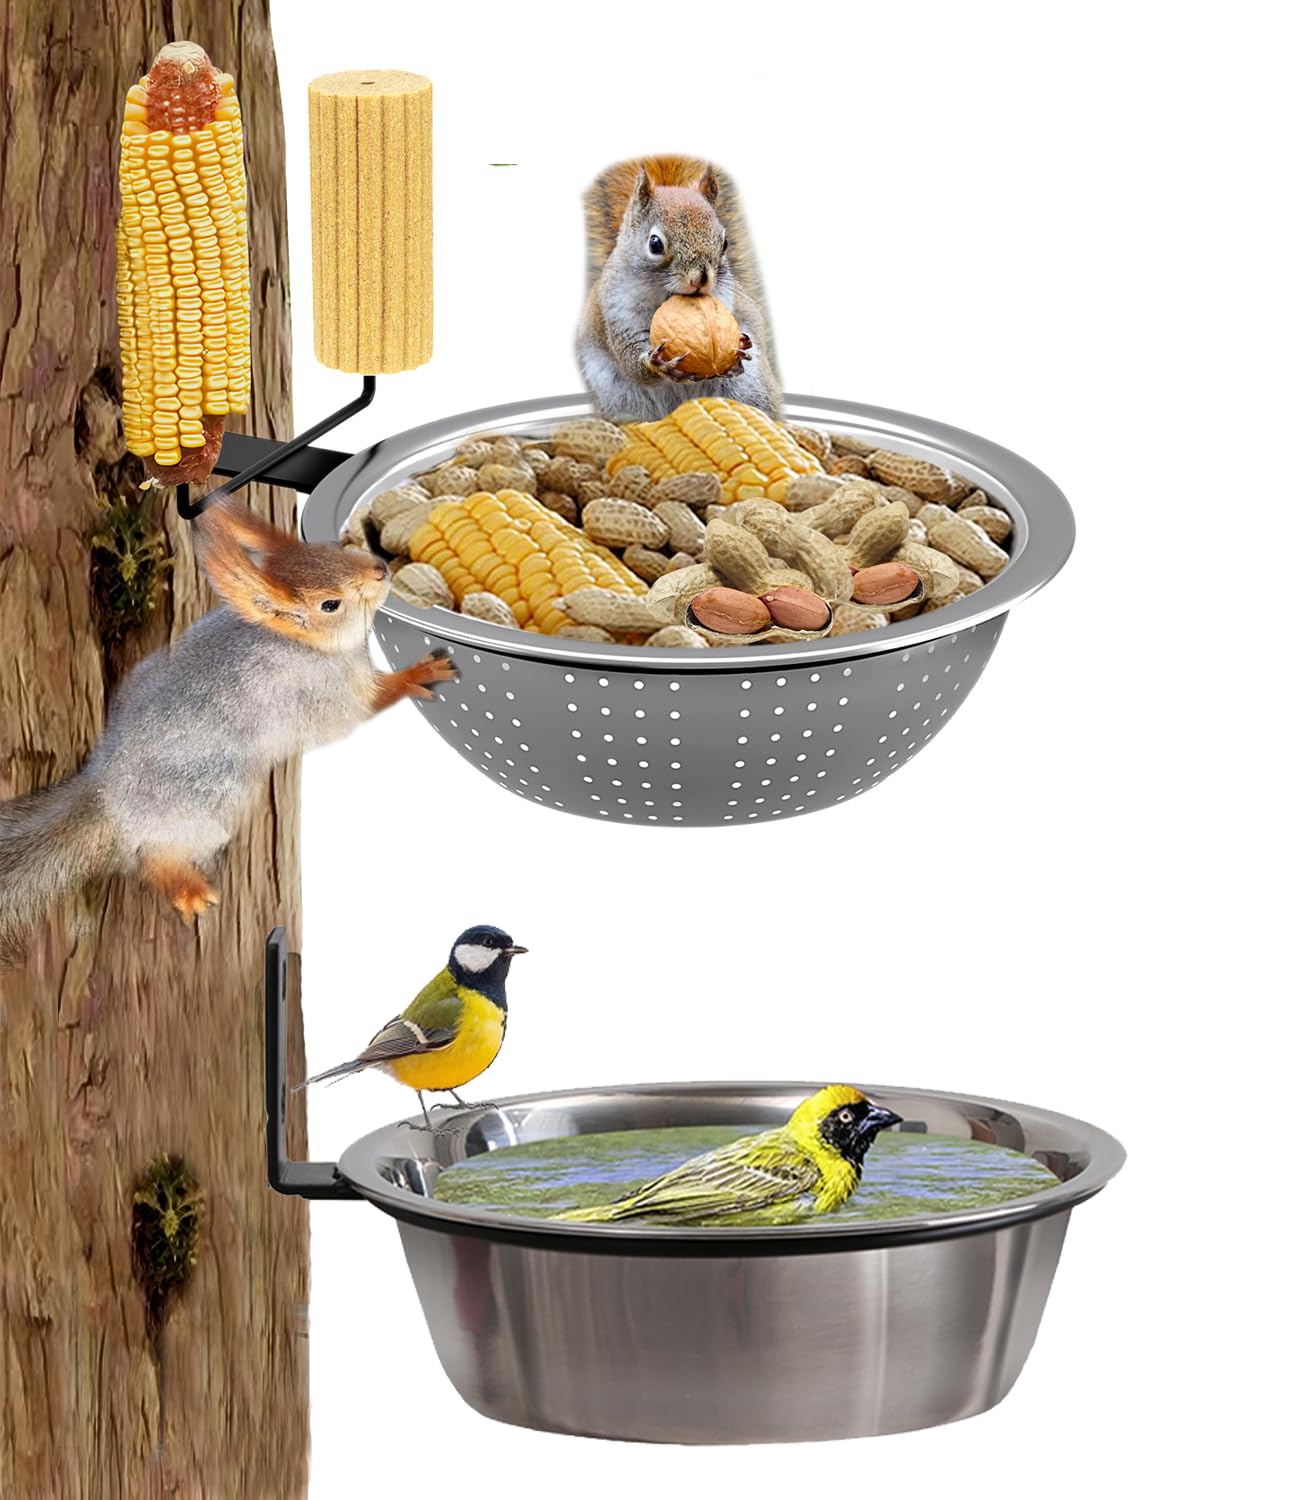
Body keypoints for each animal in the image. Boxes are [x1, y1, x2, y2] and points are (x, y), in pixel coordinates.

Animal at [0, 500, 454, 965]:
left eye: (331, 548)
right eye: (331, 604)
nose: (380, 570)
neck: (294, 641)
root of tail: (107, 798)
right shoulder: (323, 692)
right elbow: (364, 706)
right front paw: (417, 674)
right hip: (208, 802)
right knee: (153, 856)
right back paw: (186, 887)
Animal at [576, 155, 781, 423]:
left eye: (725, 243)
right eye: (655, 244)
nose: (701, 277)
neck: (665, 296)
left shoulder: (724, 302)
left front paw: (737, 352)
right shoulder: (617, 312)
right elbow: (631, 361)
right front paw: (656, 363)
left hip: (751, 389)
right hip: (620, 398)